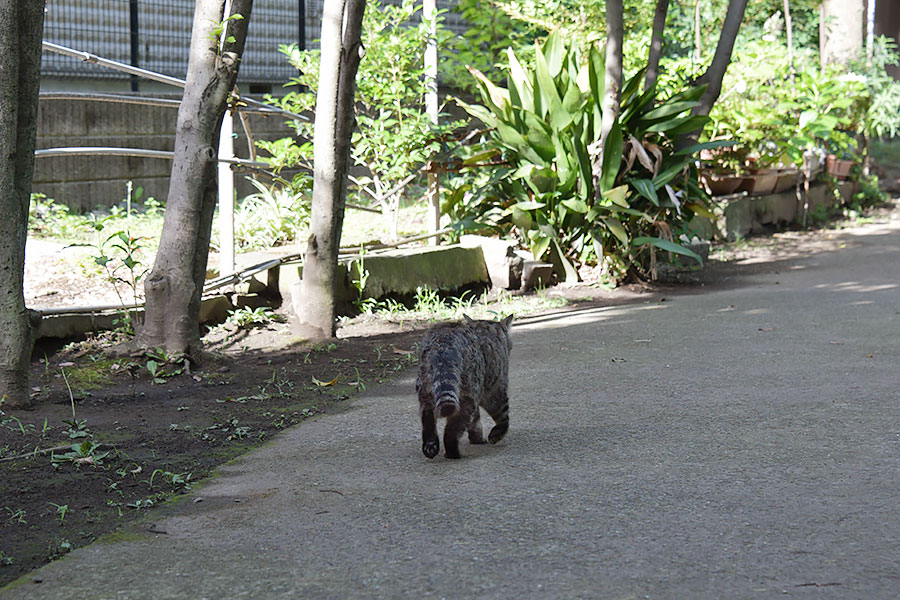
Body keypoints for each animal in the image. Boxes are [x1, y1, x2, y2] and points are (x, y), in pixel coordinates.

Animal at [414, 314, 512, 460]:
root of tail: (443, 343)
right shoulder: (495, 390)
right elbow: (503, 416)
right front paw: (496, 434)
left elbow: (475, 421)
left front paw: (476, 437)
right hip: (467, 394)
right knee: (452, 430)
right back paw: (452, 453)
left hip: (426, 389)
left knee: (428, 418)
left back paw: (430, 445)